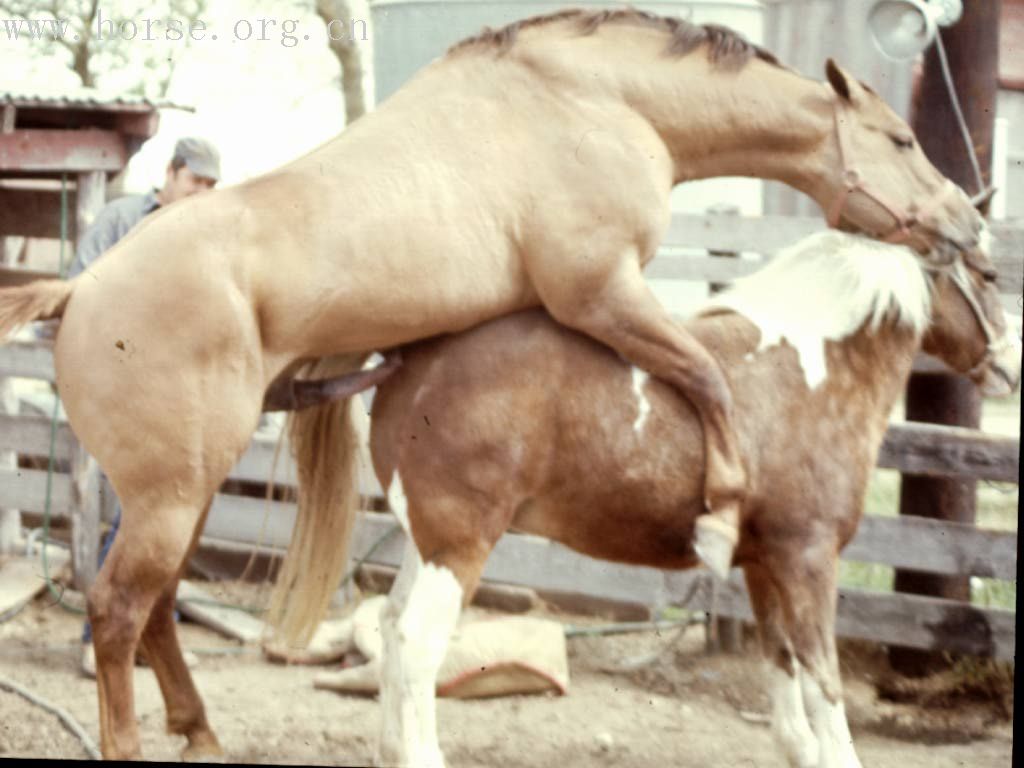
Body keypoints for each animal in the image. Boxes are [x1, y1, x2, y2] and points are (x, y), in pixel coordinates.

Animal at [366, 230, 1015, 768]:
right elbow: (822, 681)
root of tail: (415, 365)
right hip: (460, 544)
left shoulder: (765, 564)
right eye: (988, 273)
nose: (1011, 361)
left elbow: (783, 668)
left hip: (426, 542)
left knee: (391, 627)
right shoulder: (809, 559)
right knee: (417, 641)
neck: (811, 374)